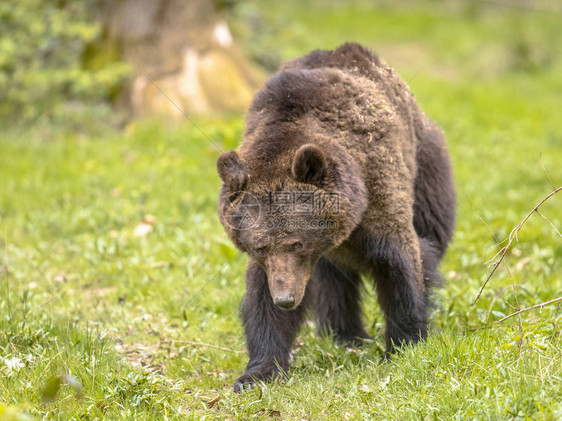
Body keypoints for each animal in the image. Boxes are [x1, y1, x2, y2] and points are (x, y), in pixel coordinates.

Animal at [215, 41, 456, 390]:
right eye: (259, 246)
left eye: (297, 243)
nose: (286, 298)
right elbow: (261, 298)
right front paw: (258, 373)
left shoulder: (379, 190)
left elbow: (399, 264)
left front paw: (404, 346)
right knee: (334, 283)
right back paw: (345, 335)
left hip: (427, 168)